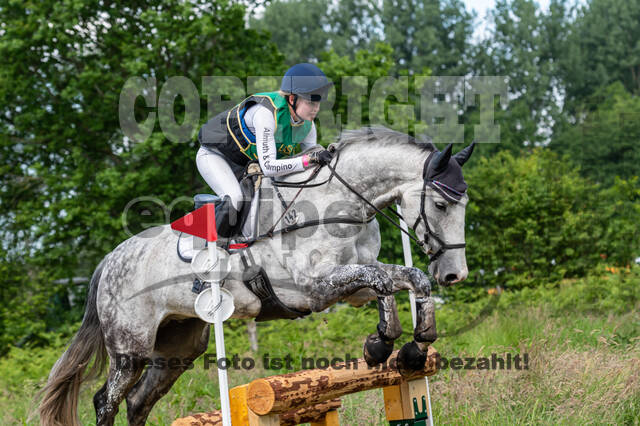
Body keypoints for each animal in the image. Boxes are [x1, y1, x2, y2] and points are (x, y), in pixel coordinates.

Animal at [38, 127, 474, 426]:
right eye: (440, 204)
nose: (455, 274)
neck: (334, 205)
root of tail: (110, 260)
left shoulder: (350, 289)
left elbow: (406, 278)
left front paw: (408, 345)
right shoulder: (315, 289)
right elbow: (386, 281)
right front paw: (388, 344)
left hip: (178, 347)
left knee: (138, 401)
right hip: (131, 349)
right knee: (107, 401)